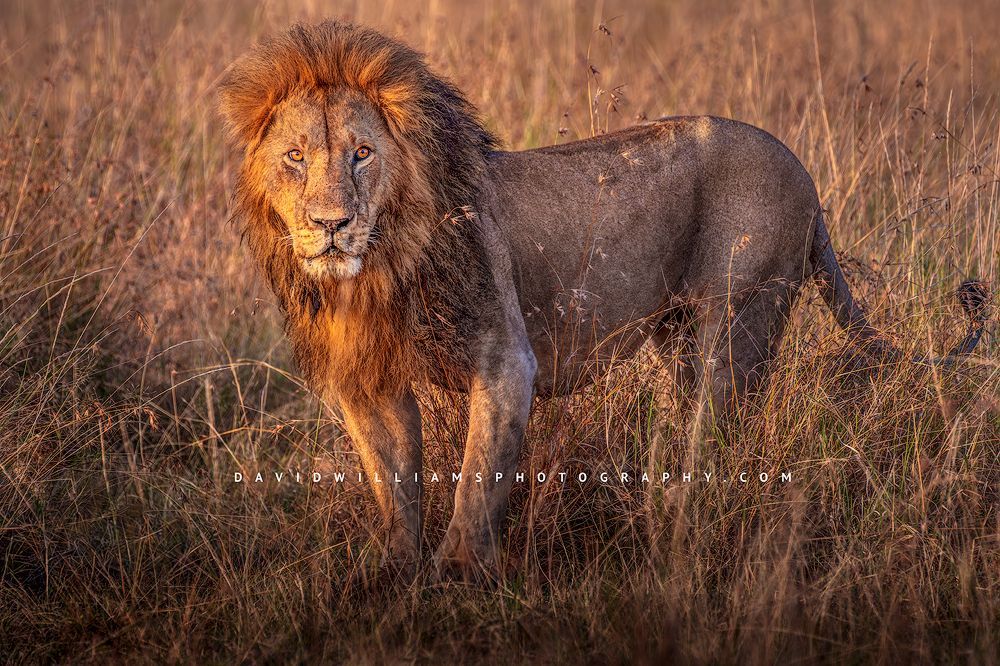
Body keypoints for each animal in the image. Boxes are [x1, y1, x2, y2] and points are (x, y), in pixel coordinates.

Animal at [219, 21, 989, 578]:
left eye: (362, 154)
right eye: (295, 158)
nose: (331, 224)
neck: (379, 269)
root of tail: (800, 167)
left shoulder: (504, 358)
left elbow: (475, 478)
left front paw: (461, 573)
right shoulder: (369, 382)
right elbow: (394, 484)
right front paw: (392, 573)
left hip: (738, 321)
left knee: (720, 432)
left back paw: (676, 516)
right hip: (681, 338)